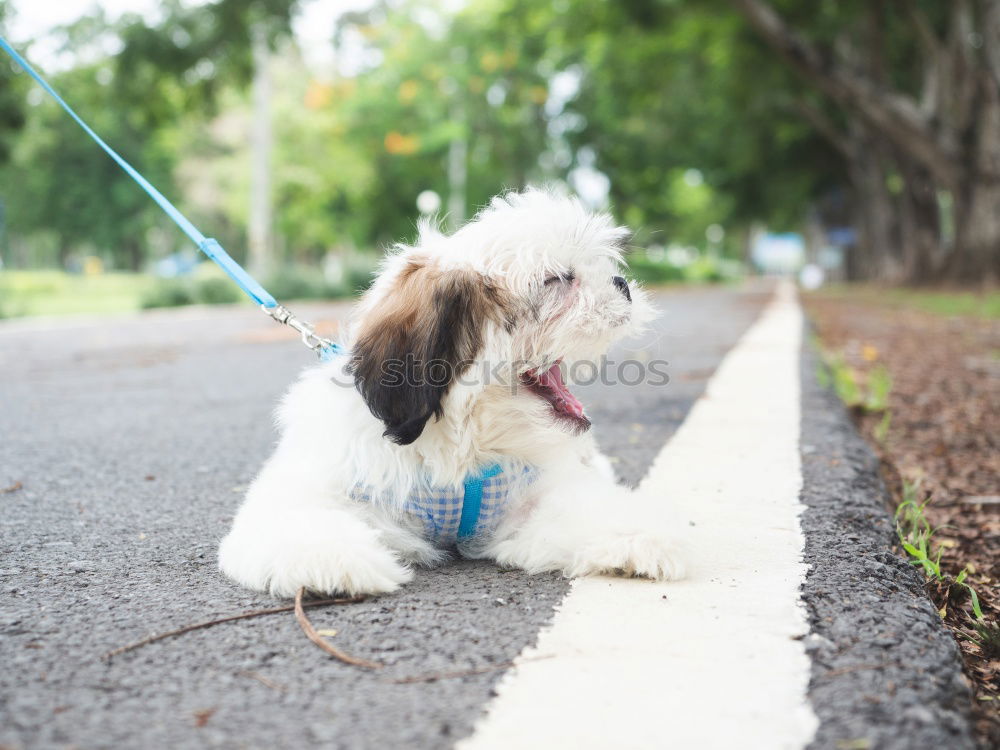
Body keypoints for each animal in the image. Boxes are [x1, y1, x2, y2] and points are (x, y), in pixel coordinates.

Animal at [220, 189, 688, 600]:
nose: (621, 283)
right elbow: (300, 516)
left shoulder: (531, 501)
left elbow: (586, 509)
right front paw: (330, 560)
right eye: (556, 279)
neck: (463, 442)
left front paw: (642, 535)